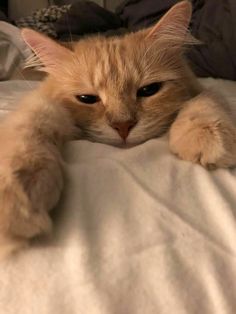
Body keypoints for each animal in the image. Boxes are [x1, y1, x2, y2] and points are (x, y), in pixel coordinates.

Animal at [0, 1, 236, 258]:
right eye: (87, 99)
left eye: (149, 90)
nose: (123, 126)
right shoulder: (40, 104)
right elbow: (29, 126)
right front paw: (17, 197)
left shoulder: (200, 87)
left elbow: (207, 99)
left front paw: (204, 136)